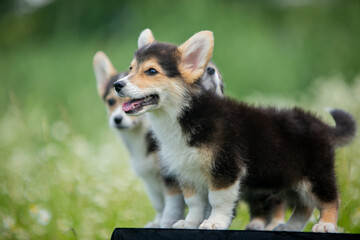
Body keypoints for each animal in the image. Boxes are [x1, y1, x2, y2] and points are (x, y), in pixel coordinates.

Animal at [92, 50, 225, 227]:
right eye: (111, 101)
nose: (117, 119)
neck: (140, 136)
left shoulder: (169, 177)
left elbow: (171, 203)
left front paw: (167, 222)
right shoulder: (150, 181)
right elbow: (159, 204)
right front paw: (157, 222)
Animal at [114, 29, 356, 232]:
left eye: (151, 71)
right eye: (131, 69)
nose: (118, 85)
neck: (183, 114)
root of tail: (323, 127)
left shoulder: (225, 167)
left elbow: (218, 201)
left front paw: (214, 223)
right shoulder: (187, 172)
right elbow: (194, 203)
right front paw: (189, 223)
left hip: (315, 175)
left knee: (330, 199)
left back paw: (325, 225)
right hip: (290, 181)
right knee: (304, 207)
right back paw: (289, 227)